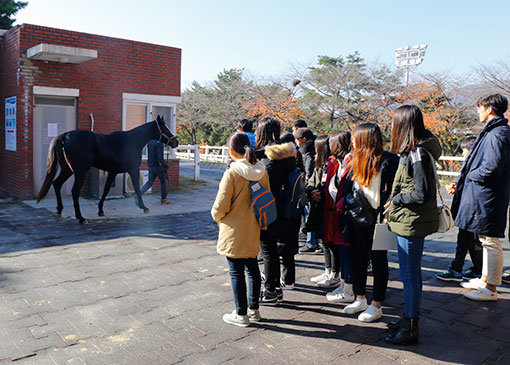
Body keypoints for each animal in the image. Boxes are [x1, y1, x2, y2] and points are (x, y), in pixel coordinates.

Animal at [36, 116, 179, 222]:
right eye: (164, 128)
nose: (175, 142)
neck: (132, 141)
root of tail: (65, 136)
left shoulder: (113, 172)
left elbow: (106, 190)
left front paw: (100, 210)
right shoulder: (133, 170)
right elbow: (137, 188)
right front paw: (143, 207)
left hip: (68, 170)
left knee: (57, 184)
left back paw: (59, 210)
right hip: (79, 171)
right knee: (74, 191)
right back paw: (80, 217)